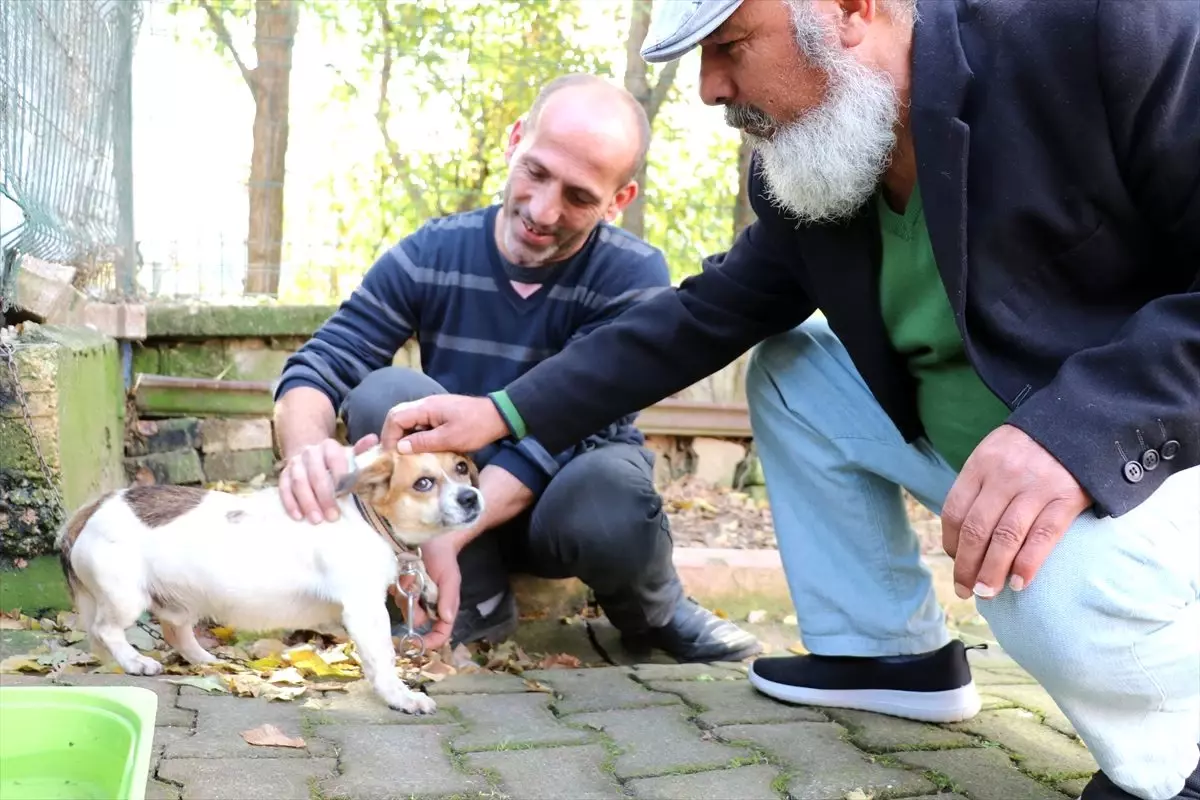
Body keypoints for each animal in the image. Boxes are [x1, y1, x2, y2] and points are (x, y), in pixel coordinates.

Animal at [55, 448, 487, 714]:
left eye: (462, 468)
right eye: (423, 483)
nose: (471, 498)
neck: (363, 514)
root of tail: (90, 510)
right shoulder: (365, 610)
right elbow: (383, 660)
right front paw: (401, 696)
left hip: (180, 603)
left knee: (176, 633)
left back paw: (207, 659)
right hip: (125, 598)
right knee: (107, 630)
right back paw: (135, 661)